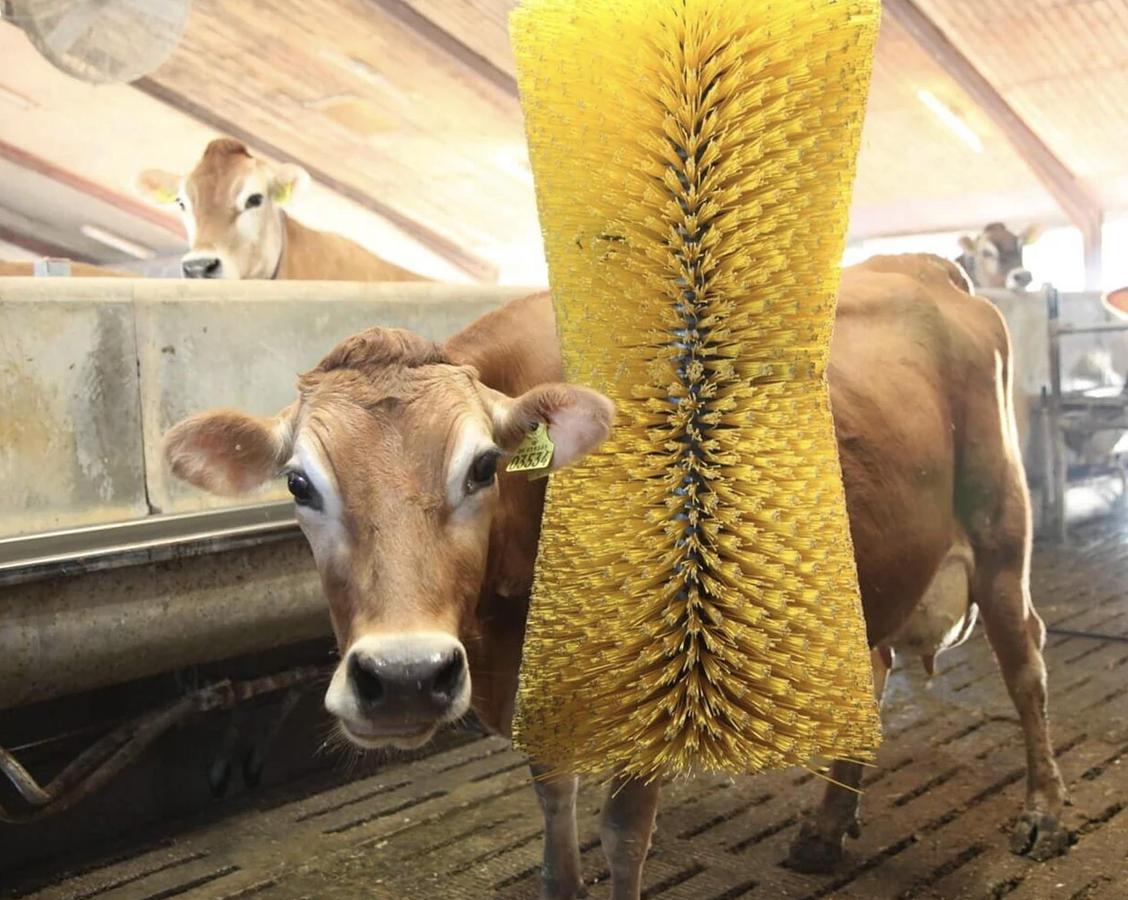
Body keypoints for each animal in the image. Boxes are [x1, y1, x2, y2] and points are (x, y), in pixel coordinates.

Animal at [164, 253, 1067, 899]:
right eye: (298, 483)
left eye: (484, 467)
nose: (405, 678)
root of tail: (925, 267)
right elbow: (554, 815)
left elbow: (623, 832)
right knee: (873, 667)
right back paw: (823, 828)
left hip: (1001, 524)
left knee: (1025, 660)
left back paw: (1045, 814)